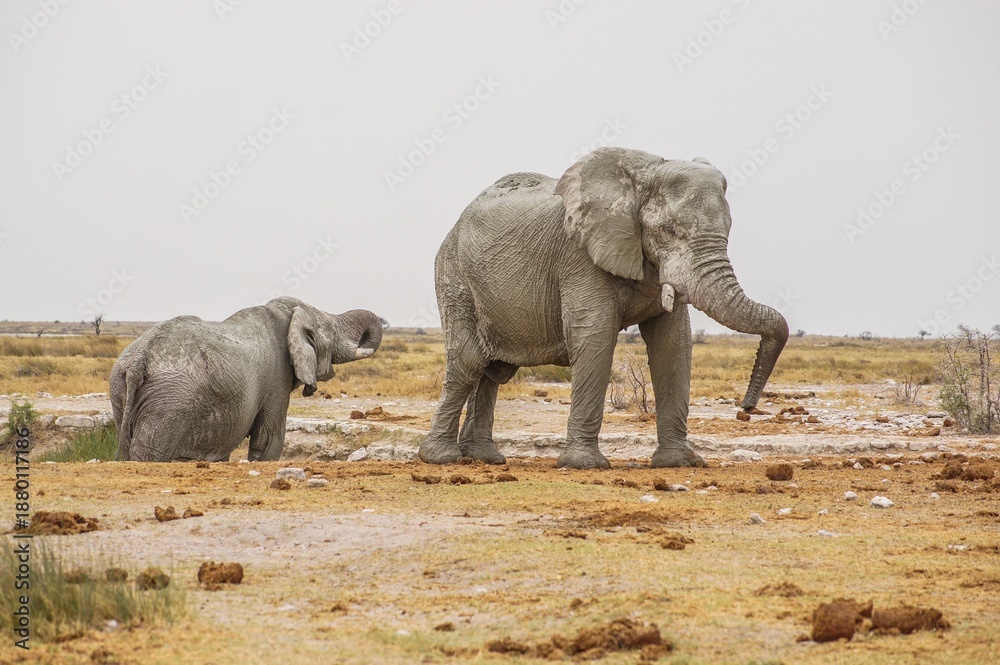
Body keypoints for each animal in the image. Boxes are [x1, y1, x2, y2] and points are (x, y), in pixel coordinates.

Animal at [110, 297, 382, 462]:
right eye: (332, 331)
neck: (288, 313)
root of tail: (139, 359)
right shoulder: (277, 378)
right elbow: (268, 439)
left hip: (120, 389)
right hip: (171, 400)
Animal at [418, 147, 788, 469]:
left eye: (729, 229)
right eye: (668, 230)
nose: (746, 406)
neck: (642, 175)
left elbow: (673, 343)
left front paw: (681, 463)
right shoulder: (578, 254)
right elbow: (594, 335)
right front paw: (584, 465)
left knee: (492, 370)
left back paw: (484, 458)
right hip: (454, 274)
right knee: (470, 361)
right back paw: (441, 458)